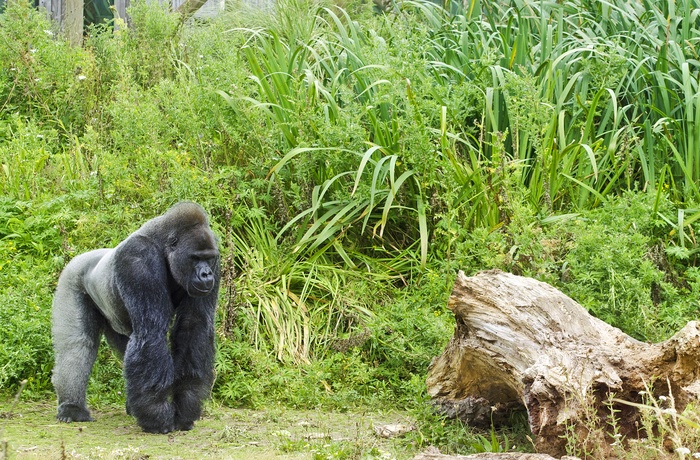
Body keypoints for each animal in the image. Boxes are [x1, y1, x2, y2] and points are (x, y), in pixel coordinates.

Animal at [51, 200, 220, 432]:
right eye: (195, 258)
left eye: (208, 258)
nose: (206, 274)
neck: (164, 246)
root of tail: (80, 257)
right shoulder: (138, 258)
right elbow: (151, 331)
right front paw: (157, 415)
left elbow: (193, 328)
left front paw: (186, 404)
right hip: (71, 277)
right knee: (77, 345)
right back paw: (72, 407)